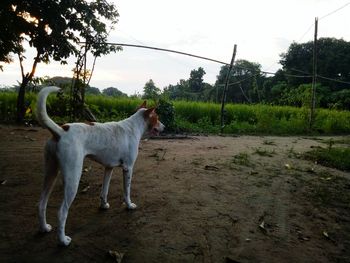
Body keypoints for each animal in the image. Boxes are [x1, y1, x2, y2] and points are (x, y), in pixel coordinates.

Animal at [36, 87, 165, 248]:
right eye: (157, 117)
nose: (165, 126)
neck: (133, 127)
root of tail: (61, 130)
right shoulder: (128, 168)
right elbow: (127, 191)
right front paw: (129, 205)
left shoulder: (108, 168)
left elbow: (104, 190)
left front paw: (103, 205)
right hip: (73, 179)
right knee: (62, 212)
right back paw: (63, 240)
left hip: (50, 173)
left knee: (41, 203)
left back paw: (44, 228)